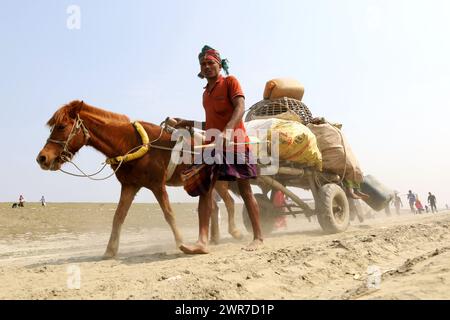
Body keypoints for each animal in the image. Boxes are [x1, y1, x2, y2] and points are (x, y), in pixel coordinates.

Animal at [35, 100, 243, 258]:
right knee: (218, 206)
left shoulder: (157, 185)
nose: (42, 158)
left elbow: (169, 214)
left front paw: (180, 242)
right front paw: (110, 250)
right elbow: (118, 217)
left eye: (62, 126)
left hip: (218, 182)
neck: (131, 143)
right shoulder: (130, 186)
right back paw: (216, 238)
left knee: (229, 202)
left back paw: (234, 232)